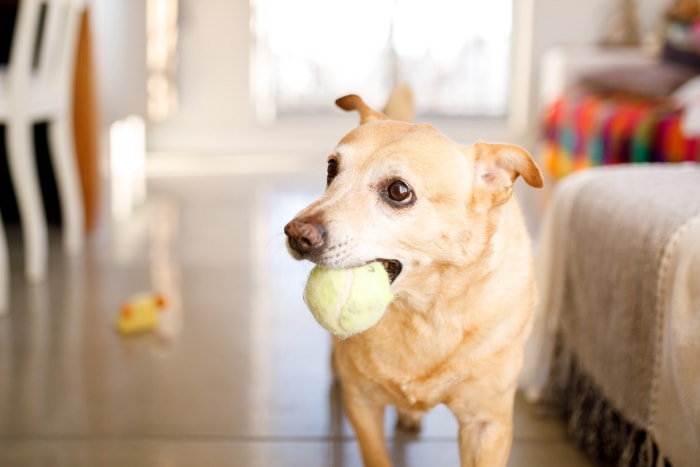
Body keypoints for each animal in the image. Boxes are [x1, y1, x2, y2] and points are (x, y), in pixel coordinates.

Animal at [284, 93, 540, 466]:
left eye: (398, 190)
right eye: (332, 168)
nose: (296, 235)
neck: (425, 311)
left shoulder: (486, 424)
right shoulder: (363, 403)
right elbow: (377, 455)